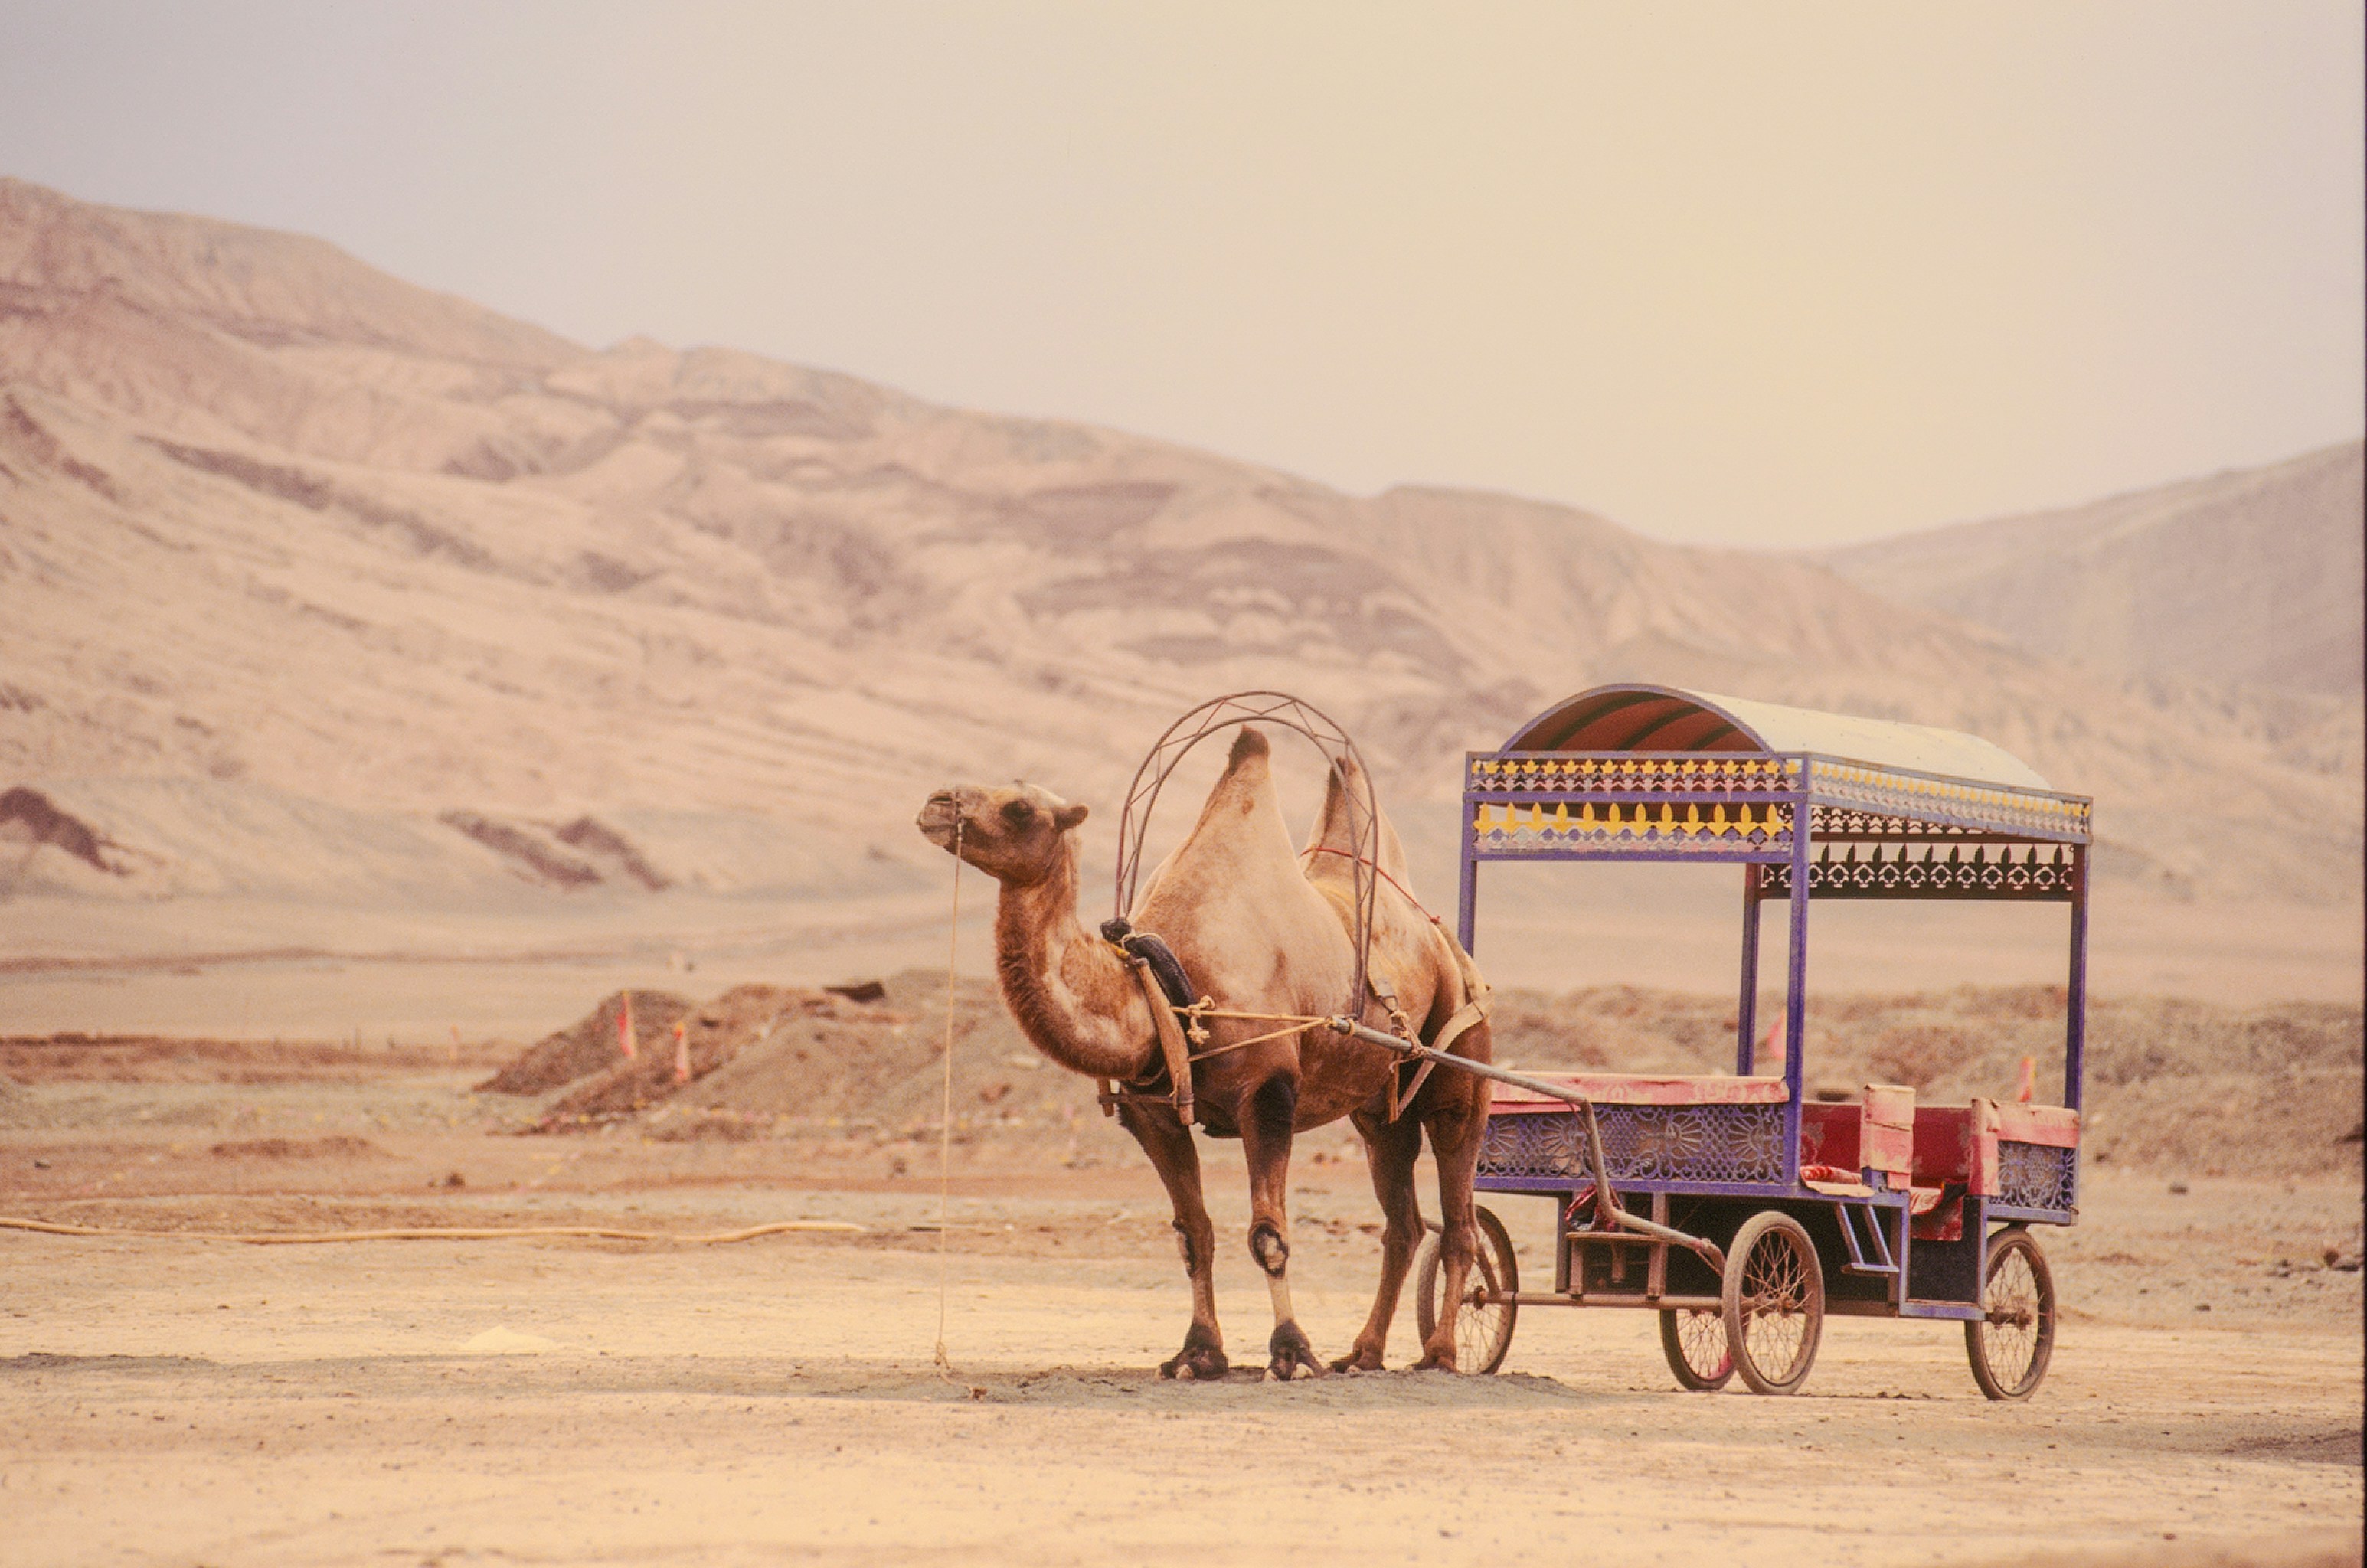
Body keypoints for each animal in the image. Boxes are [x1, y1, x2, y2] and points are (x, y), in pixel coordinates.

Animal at [915, 727, 1494, 1381]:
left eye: (1019, 807)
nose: (936, 803)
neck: (1166, 989)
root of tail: (1445, 941)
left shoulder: (1268, 1094)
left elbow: (1268, 1235)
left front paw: (1291, 1353)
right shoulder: (1153, 1113)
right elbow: (1193, 1233)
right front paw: (1197, 1354)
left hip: (1459, 1057)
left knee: (1460, 1214)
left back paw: (1441, 1353)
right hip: (1376, 1108)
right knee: (1403, 1222)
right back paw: (1363, 1353)